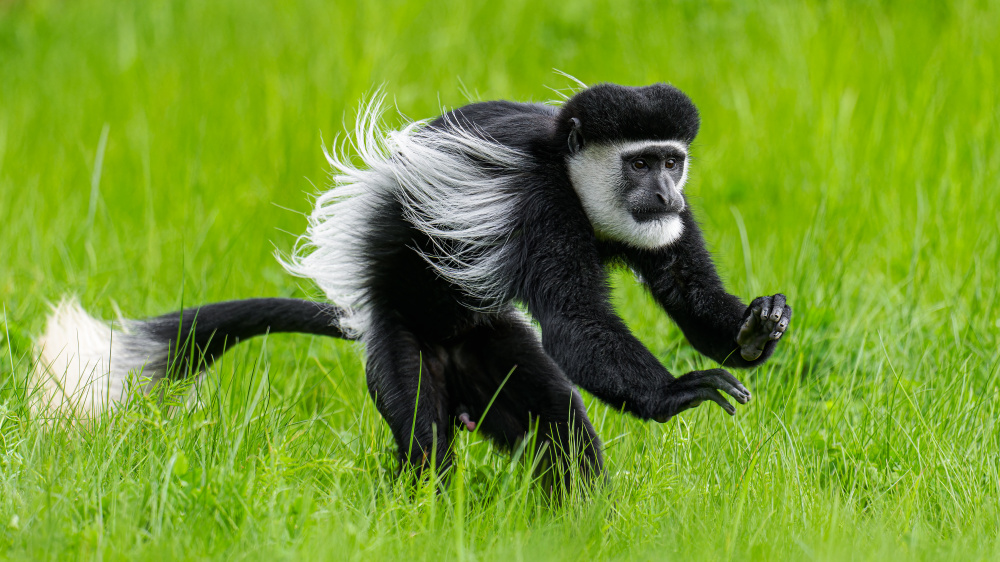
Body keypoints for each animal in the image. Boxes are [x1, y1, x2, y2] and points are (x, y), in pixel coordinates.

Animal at [35, 83, 792, 482]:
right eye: (639, 164)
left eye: (672, 161)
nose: (663, 193)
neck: (568, 167)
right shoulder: (544, 210)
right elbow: (575, 325)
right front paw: (679, 390)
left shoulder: (668, 224)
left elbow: (684, 287)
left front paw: (758, 328)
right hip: (401, 347)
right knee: (425, 439)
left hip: (492, 347)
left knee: (556, 422)